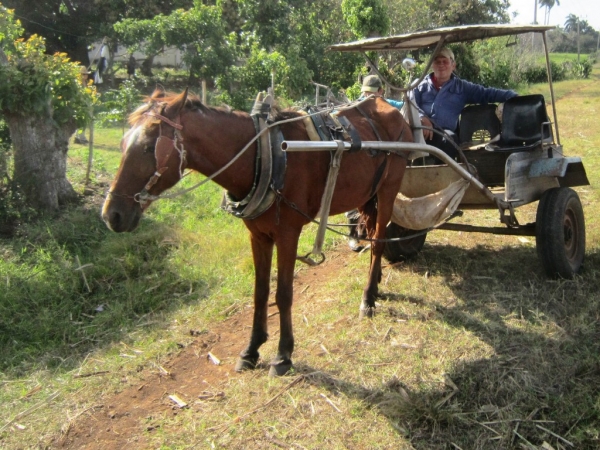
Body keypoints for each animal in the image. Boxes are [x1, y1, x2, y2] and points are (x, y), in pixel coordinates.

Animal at [103, 89, 412, 374]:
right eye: (122, 143)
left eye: (147, 148)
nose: (111, 215)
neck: (265, 155)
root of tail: (386, 105)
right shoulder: (258, 236)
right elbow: (260, 291)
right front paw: (252, 349)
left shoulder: (288, 234)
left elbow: (284, 294)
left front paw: (283, 354)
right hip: (367, 193)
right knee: (372, 234)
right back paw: (376, 282)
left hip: (389, 189)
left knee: (378, 243)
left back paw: (368, 298)